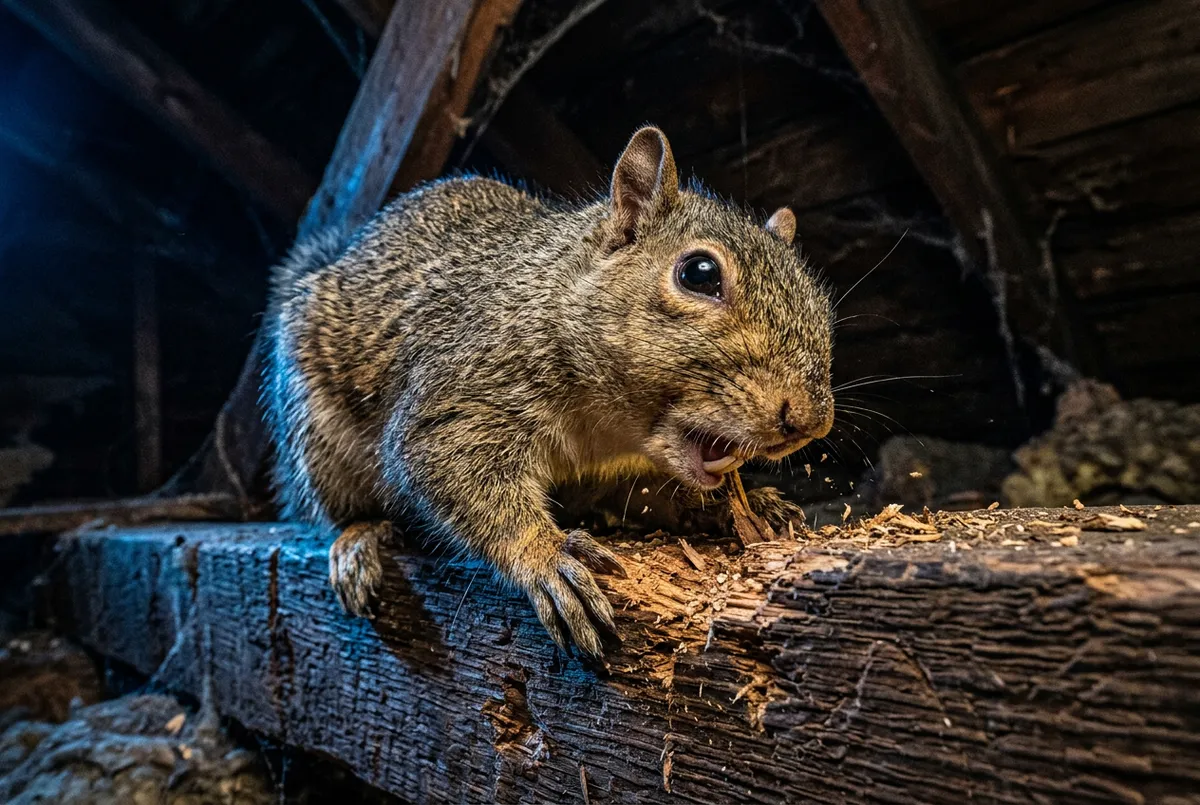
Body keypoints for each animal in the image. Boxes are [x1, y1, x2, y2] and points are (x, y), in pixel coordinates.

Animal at [263, 126, 835, 658]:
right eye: (699, 273)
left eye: (817, 297)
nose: (810, 421)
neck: (608, 430)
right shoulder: (459, 395)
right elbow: (456, 468)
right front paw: (549, 556)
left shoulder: (616, 471)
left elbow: (651, 496)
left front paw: (742, 506)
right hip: (318, 436)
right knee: (338, 509)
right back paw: (361, 536)